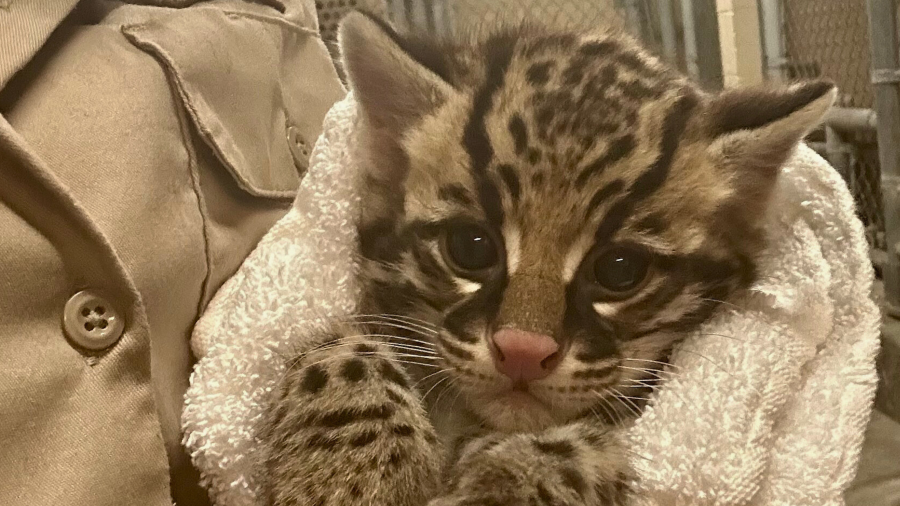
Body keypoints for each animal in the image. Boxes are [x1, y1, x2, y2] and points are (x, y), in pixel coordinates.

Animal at [255, 9, 836, 504]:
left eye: (620, 271)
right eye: (470, 247)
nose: (522, 352)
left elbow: (578, 444)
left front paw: (502, 483)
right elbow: (337, 347)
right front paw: (349, 479)